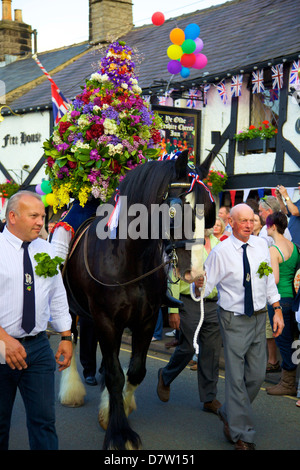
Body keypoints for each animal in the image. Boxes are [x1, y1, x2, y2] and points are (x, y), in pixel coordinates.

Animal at [59, 150, 216, 448]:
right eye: (176, 211)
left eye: (210, 214)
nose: (197, 272)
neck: (127, 256)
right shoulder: (107, 321)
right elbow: (115, 375)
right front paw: (119, 432)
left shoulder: (146, 320)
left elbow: (134, 372)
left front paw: (116, 408)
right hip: (72, 309)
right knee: (70, 340)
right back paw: (72, 389)